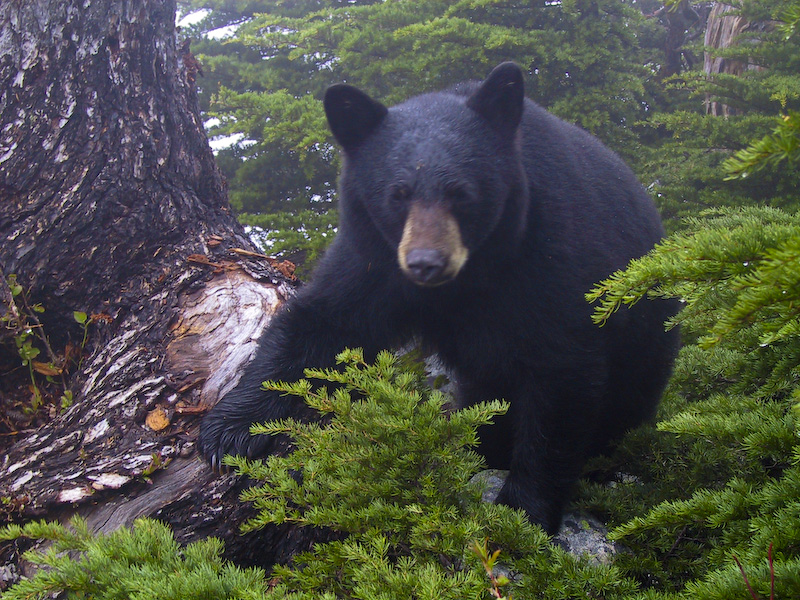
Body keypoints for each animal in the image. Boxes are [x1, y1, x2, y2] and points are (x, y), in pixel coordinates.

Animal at [197, 64, 680, 536]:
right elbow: (324, 322)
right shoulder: (374, 257)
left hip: (645, 346)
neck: (466, 281)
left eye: (461, 193)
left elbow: (561, 374)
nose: (426, 262)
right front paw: (228, 430)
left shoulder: (550, 257)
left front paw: (520, 514)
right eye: (398, 193)